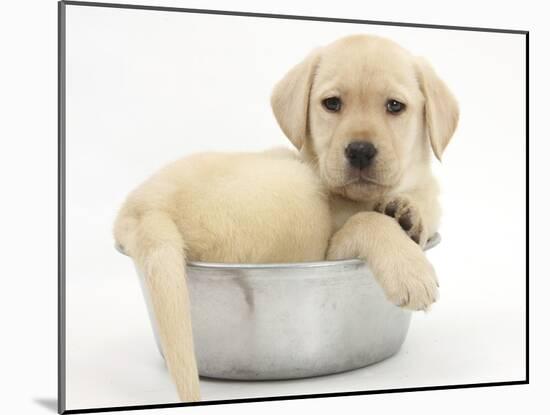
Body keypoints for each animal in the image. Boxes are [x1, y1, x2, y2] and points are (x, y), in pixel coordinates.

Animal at [113, 35, 462, 404]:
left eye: (395, 106)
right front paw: (410, 270)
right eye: (332, 103)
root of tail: (144, 208)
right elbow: (366, 222)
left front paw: (405, 212)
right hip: (299, 195)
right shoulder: (330, 250)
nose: (360, 151)